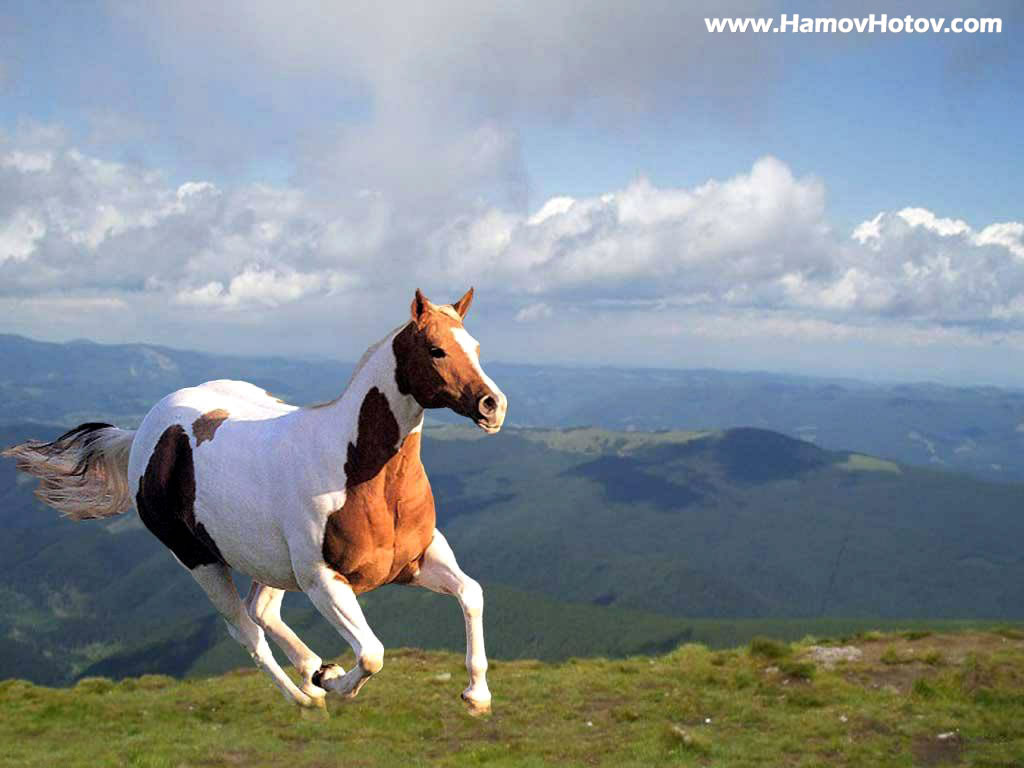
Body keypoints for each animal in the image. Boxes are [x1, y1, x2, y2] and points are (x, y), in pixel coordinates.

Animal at [3, 288, 507, 714]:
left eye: (476, 347)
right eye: (436, 349)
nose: (492, 405)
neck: (357, 470)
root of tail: (144, 431)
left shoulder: (419, 558)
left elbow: (472, 594)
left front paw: (476, 696)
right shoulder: (324, 581)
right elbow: (372, 654)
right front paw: (333, 683)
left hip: (269, 563)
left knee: (260, 611)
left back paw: (312, 669)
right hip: (200, 560)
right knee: (245, 629)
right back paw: (307, 697)